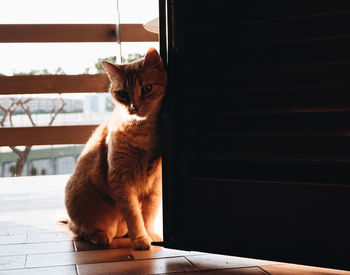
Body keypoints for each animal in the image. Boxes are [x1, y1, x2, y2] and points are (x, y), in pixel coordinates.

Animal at [65, 48, 167, 251]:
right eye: (123, 93)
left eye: (147, 89)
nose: (134, 106)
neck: (143, 132)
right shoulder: (121, 181)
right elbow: (134, 216)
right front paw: (140, 239)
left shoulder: (155, 186)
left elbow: (148, 216)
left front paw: (149, 234)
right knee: (79, 229)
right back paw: (100, 236)